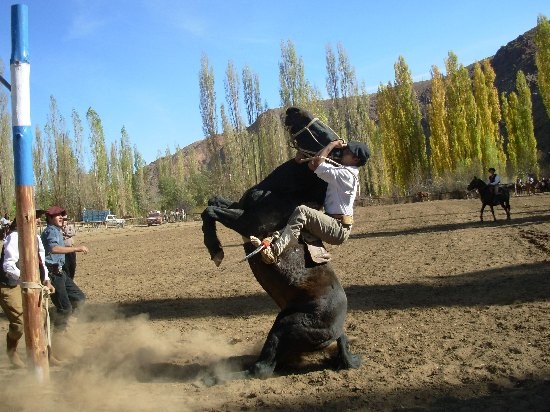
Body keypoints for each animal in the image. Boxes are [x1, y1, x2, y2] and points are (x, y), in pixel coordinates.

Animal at [202, 107, 362, 384]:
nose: (293, 110)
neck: (280, 192)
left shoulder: (245, 222)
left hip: (285, 326)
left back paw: (215, 378)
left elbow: (210, 211)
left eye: (324, 136)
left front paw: (216, 250)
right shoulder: (238, 207)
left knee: (262, 369)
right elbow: (213, 202)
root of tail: (336, 332)